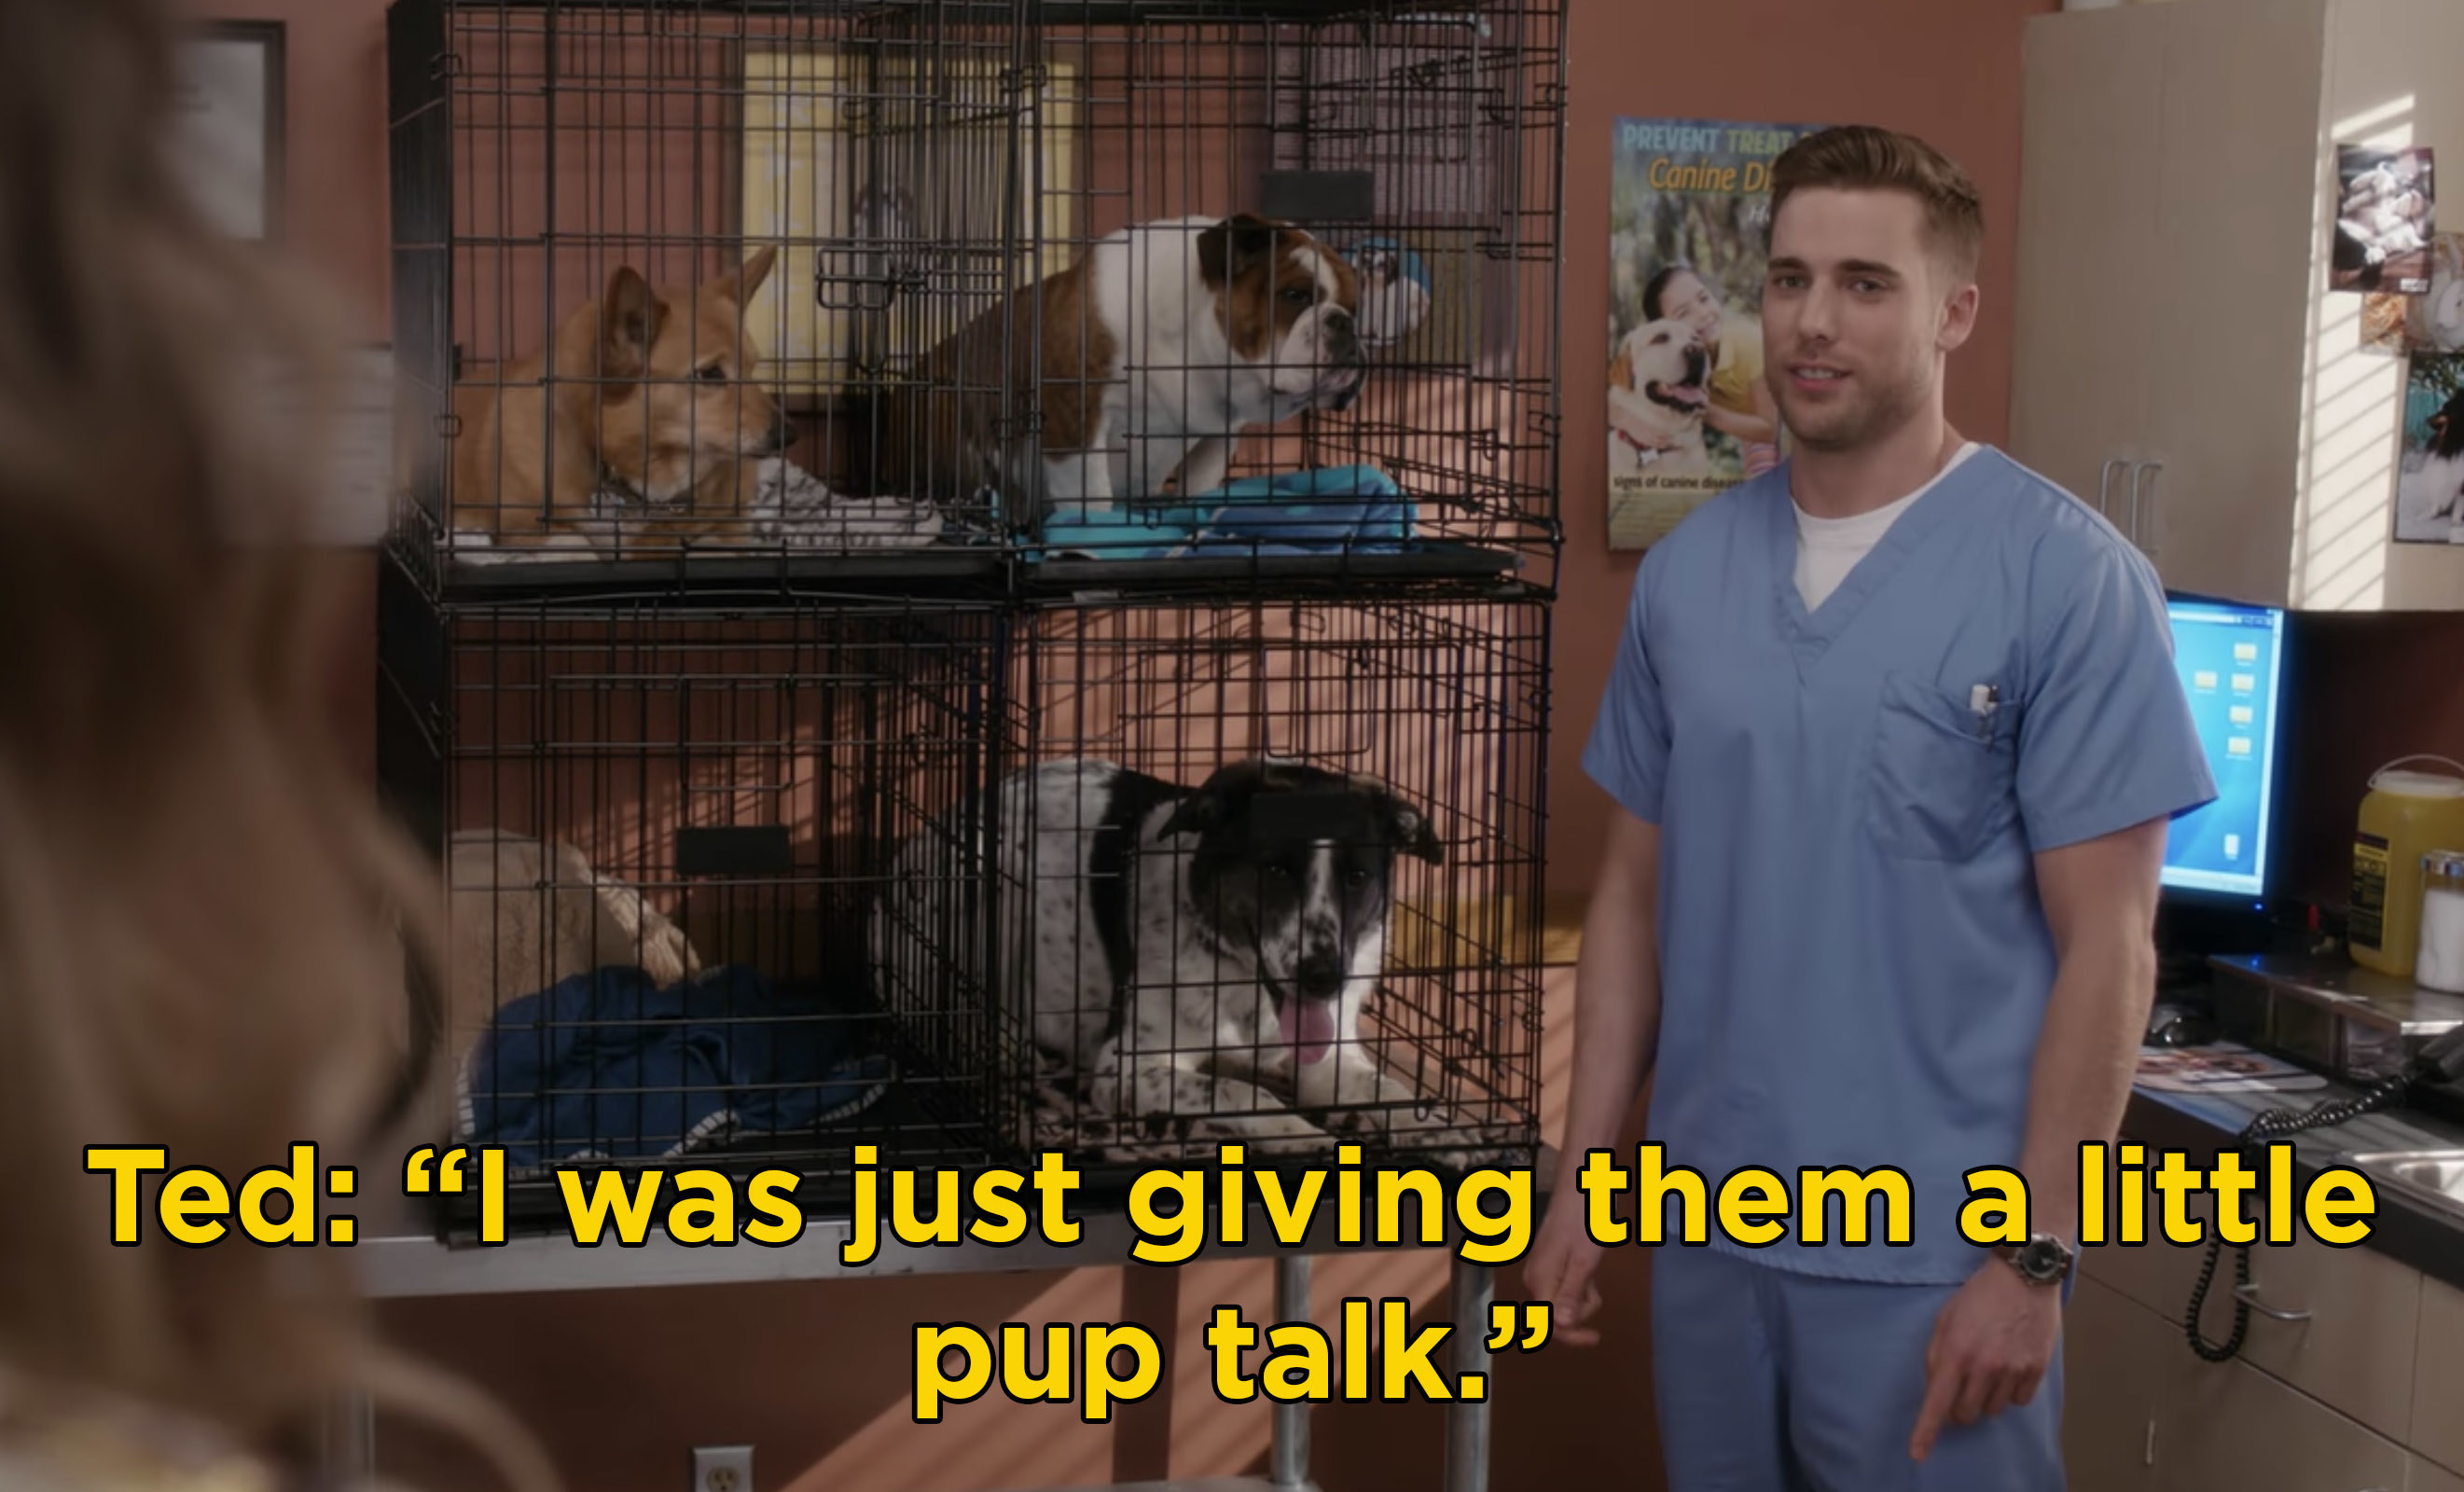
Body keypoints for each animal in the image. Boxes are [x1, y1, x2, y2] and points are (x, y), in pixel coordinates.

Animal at [446, 248, 788, 551]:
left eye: (753, 367)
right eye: (711, 373)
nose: (789, 434)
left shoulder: (731, 525)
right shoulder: (518, 528)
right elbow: (573, 542)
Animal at [877, 753, 1507, 1162]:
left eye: (1357, 877)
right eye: (1276, 868)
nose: (1324, 978)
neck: (1243, 989)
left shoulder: (1330, 1054)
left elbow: (1389, 1090)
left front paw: (1436, 1128)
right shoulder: (1127, 1068)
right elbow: (1236, 1092)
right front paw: (1296, 1130)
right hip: (990, 879)